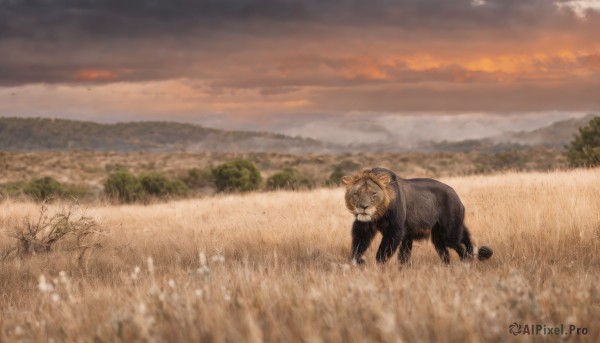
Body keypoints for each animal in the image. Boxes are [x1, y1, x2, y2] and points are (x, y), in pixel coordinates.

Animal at [342, 168, 492, 264]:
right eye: (356, 194)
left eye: (373, 194)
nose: (364, 207)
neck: (378, 214)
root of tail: (457, 196)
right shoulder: (364, 228)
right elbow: (358, 247)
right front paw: (358, 262)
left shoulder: (395, 230)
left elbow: (382, 253)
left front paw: (380, 268)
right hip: (439, 237)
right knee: (447, 254)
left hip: (449, 233)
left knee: (462, 248)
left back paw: (465, 265)